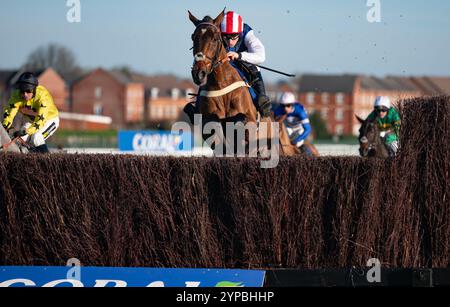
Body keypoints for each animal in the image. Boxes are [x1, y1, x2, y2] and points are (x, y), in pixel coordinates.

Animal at [188, 10, 300, 156]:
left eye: (215, 38)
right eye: (193, 37)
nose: (199, 73)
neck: (221, 85)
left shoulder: (249, 123)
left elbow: (241, 123)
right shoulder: (209, 124)